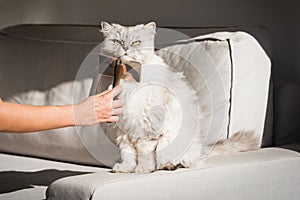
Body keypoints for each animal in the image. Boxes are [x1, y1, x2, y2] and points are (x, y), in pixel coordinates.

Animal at [99, 21, 260, 173]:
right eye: (117, 42)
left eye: (136, 43)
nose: (126, 49)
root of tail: (201, 149)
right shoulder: (123, 130)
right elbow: (127, 154)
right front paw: (126, 169)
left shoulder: (147, 127)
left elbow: (145, 153)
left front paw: (143, 170)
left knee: (182, 161)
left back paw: (169, 166)